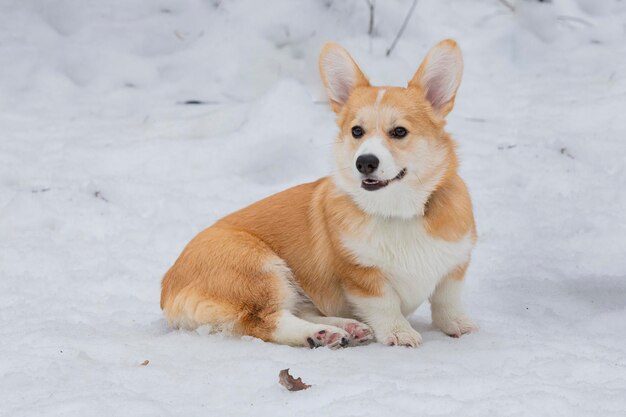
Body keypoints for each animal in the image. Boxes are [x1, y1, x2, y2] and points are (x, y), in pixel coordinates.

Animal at [158, 40, 476, 348]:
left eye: (399, 132)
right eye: (357, 131)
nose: (365, 162)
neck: (397, 211)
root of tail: (167, 287)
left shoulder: (455, 266)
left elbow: (446, 299)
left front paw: (458, 324)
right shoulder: (362, 277)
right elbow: (385, 306)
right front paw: (399, 332)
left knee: (298, 310)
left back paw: (346, 328)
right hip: (260, 269)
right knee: (266, 320)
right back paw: (320, 334)